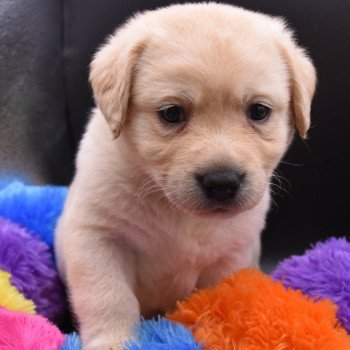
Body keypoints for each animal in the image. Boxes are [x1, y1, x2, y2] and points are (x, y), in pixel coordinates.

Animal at [55, 3, 318, 350]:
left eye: (259, 111)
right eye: (171, 114)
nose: (222, 183)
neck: (178, 212)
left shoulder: (229, 257)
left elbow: (218, 301)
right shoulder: (96, 237)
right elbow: (109, 297)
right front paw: (113, 341)